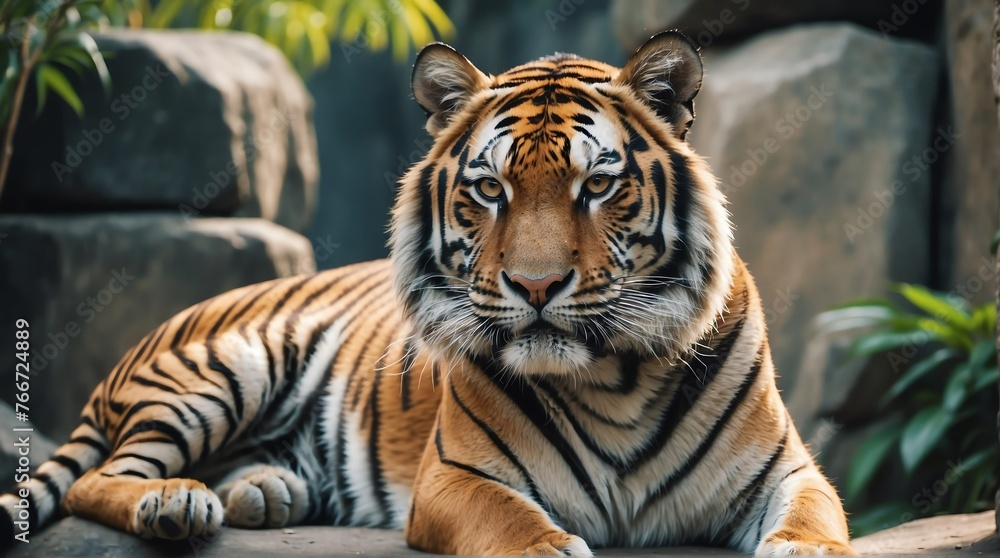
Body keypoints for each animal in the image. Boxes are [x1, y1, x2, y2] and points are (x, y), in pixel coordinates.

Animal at [1, 31, 854, 556]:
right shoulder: (457, 478)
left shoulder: (789, 472)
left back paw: (263, 494)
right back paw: (177, 504)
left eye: (597, 185)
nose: (536, 285)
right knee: (99, 478)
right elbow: (517, 528)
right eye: (490, 189)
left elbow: (816, 525)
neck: (614, 379)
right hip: (225, 368)